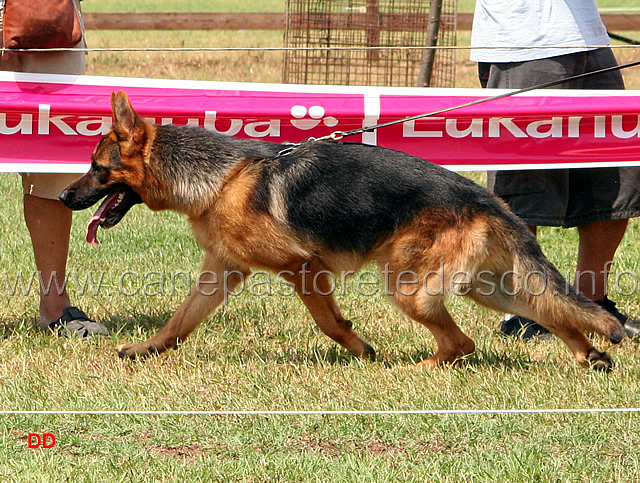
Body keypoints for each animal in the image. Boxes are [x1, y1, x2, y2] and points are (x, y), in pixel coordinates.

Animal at [58, 91, 620, 370]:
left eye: (97, 168)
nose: (63, 198)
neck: (221, 178)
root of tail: (483, 198)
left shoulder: (303, 267)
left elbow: (329, 322)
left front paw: (361, 350)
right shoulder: (222, 272)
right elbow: (179, 321)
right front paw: (146, 351)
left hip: (412, 289)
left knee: (464, 344)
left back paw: (414, 370)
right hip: (488, 289)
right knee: (555, 315)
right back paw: (590, 357)